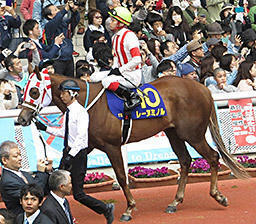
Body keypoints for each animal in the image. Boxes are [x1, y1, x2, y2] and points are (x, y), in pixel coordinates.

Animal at [17, 72, 246, 221]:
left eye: (34, 91)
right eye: (24, 90)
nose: (21, 119)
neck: (87, 102)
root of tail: (202, 88)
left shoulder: (112, 146)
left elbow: (120, 175)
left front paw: (129, 208)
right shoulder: (87, 145)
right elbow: (65, 168)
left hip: (193, 134)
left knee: (213, 157)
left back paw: (218, 196)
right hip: (174, 133)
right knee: (185, 160)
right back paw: (175, 202)